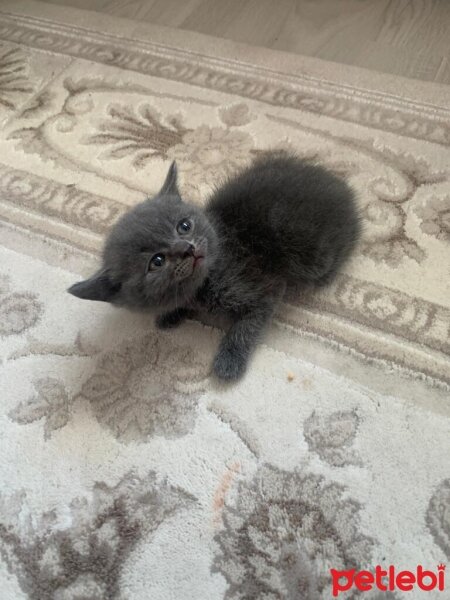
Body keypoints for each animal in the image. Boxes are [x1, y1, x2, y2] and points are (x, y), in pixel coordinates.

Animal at [68, 152, 360, 378]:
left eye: (184, 226)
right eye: (157, 261)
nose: (187, 248)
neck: (209, 278)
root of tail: (344, 190)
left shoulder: (264, 289)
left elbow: (247, 326)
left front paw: (229, 360)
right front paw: (171, 314)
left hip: (313, 257)